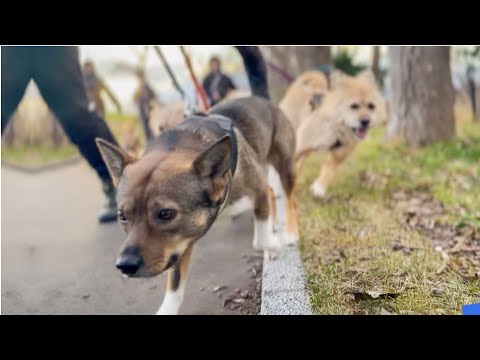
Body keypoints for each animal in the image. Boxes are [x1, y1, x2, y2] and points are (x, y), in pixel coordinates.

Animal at [95, 96, 298, 316]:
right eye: (122, 216)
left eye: (166, 214)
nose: (125, 265)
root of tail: (261, 99)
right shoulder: (178, 245)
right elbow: (175, 284)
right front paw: (167, 309)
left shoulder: (257, 189)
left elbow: (260, 238)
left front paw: (272, 244)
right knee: (271, 191)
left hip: (285, 166)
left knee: (289, 197)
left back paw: (290, 232)